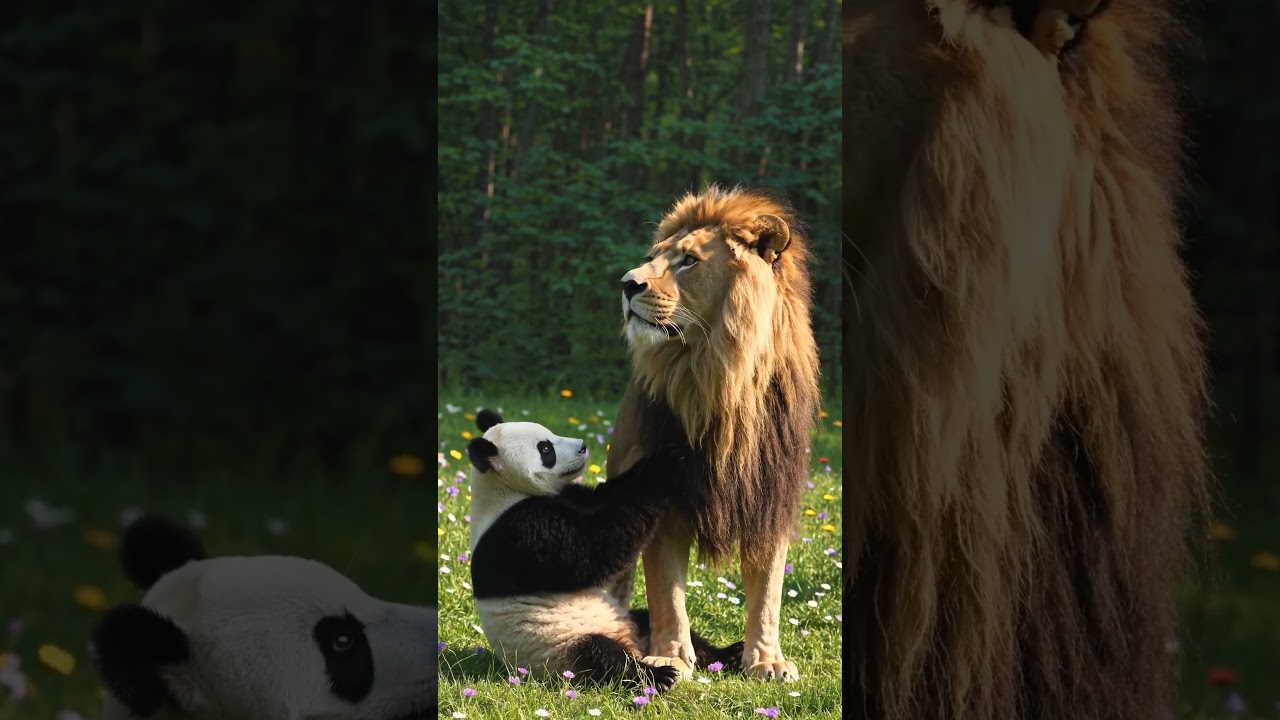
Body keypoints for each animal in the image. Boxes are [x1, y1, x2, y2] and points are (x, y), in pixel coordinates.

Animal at [465, 408, 741, 694]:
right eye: (546, 449)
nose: (582, 446)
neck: (501, 488)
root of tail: (633, 644)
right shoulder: (521, 533)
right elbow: (591, 554)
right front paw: (663, 465)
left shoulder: (569, 496)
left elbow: (605, 496)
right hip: (559, 648)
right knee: (602, 656)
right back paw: (658, 676)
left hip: (626, 622)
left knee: (648, 620)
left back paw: (729, 654)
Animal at [605, 185, 820, 682]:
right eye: (651, 258)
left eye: (688, 260)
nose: (626, 283)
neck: (717, 375)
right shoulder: (660, 500)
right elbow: (666, 592)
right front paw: (669, 658)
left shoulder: (769, 497)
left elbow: (768, 593)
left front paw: (766, 660)